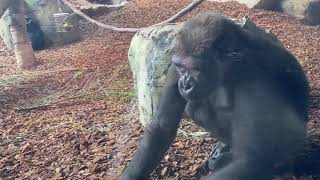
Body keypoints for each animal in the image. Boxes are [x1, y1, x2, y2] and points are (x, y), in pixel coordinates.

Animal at [121, 11, 308, 179]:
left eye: (195, 69)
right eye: (181, 67)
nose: (184, 84)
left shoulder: (253, 74)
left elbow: (251, 160)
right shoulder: (175, 67)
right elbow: (161, 127)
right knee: (196, 107)